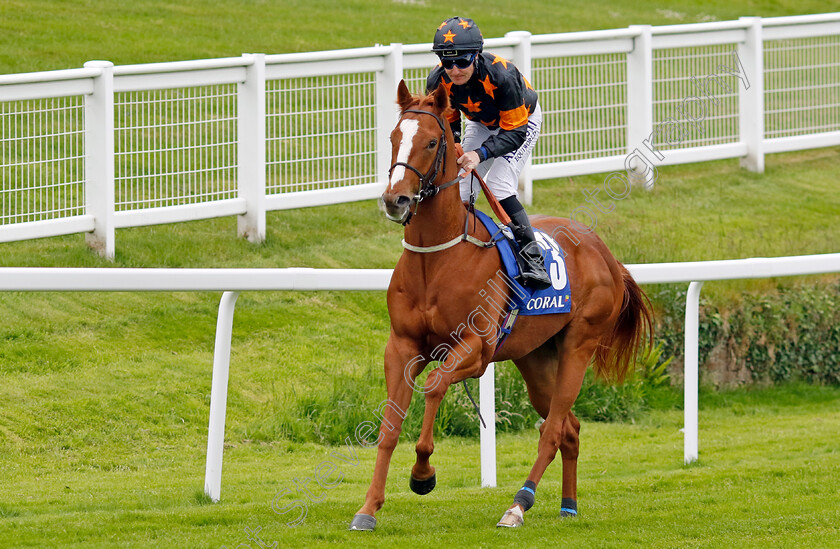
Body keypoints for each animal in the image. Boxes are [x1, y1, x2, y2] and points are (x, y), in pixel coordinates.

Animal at [352, 81, 652, 532]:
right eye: (392, 138)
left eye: (432, 141)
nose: (396, 199)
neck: (436, 258)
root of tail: (606, 254)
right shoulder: (402, 346)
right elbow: (389, 424)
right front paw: (368, 508)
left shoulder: (476, 349)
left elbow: (435, 385)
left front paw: (423, 474)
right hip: (535, 356)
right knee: (570, 428)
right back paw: (567, 504)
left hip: (579, 345)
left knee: (552, 430)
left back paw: (518, 504)